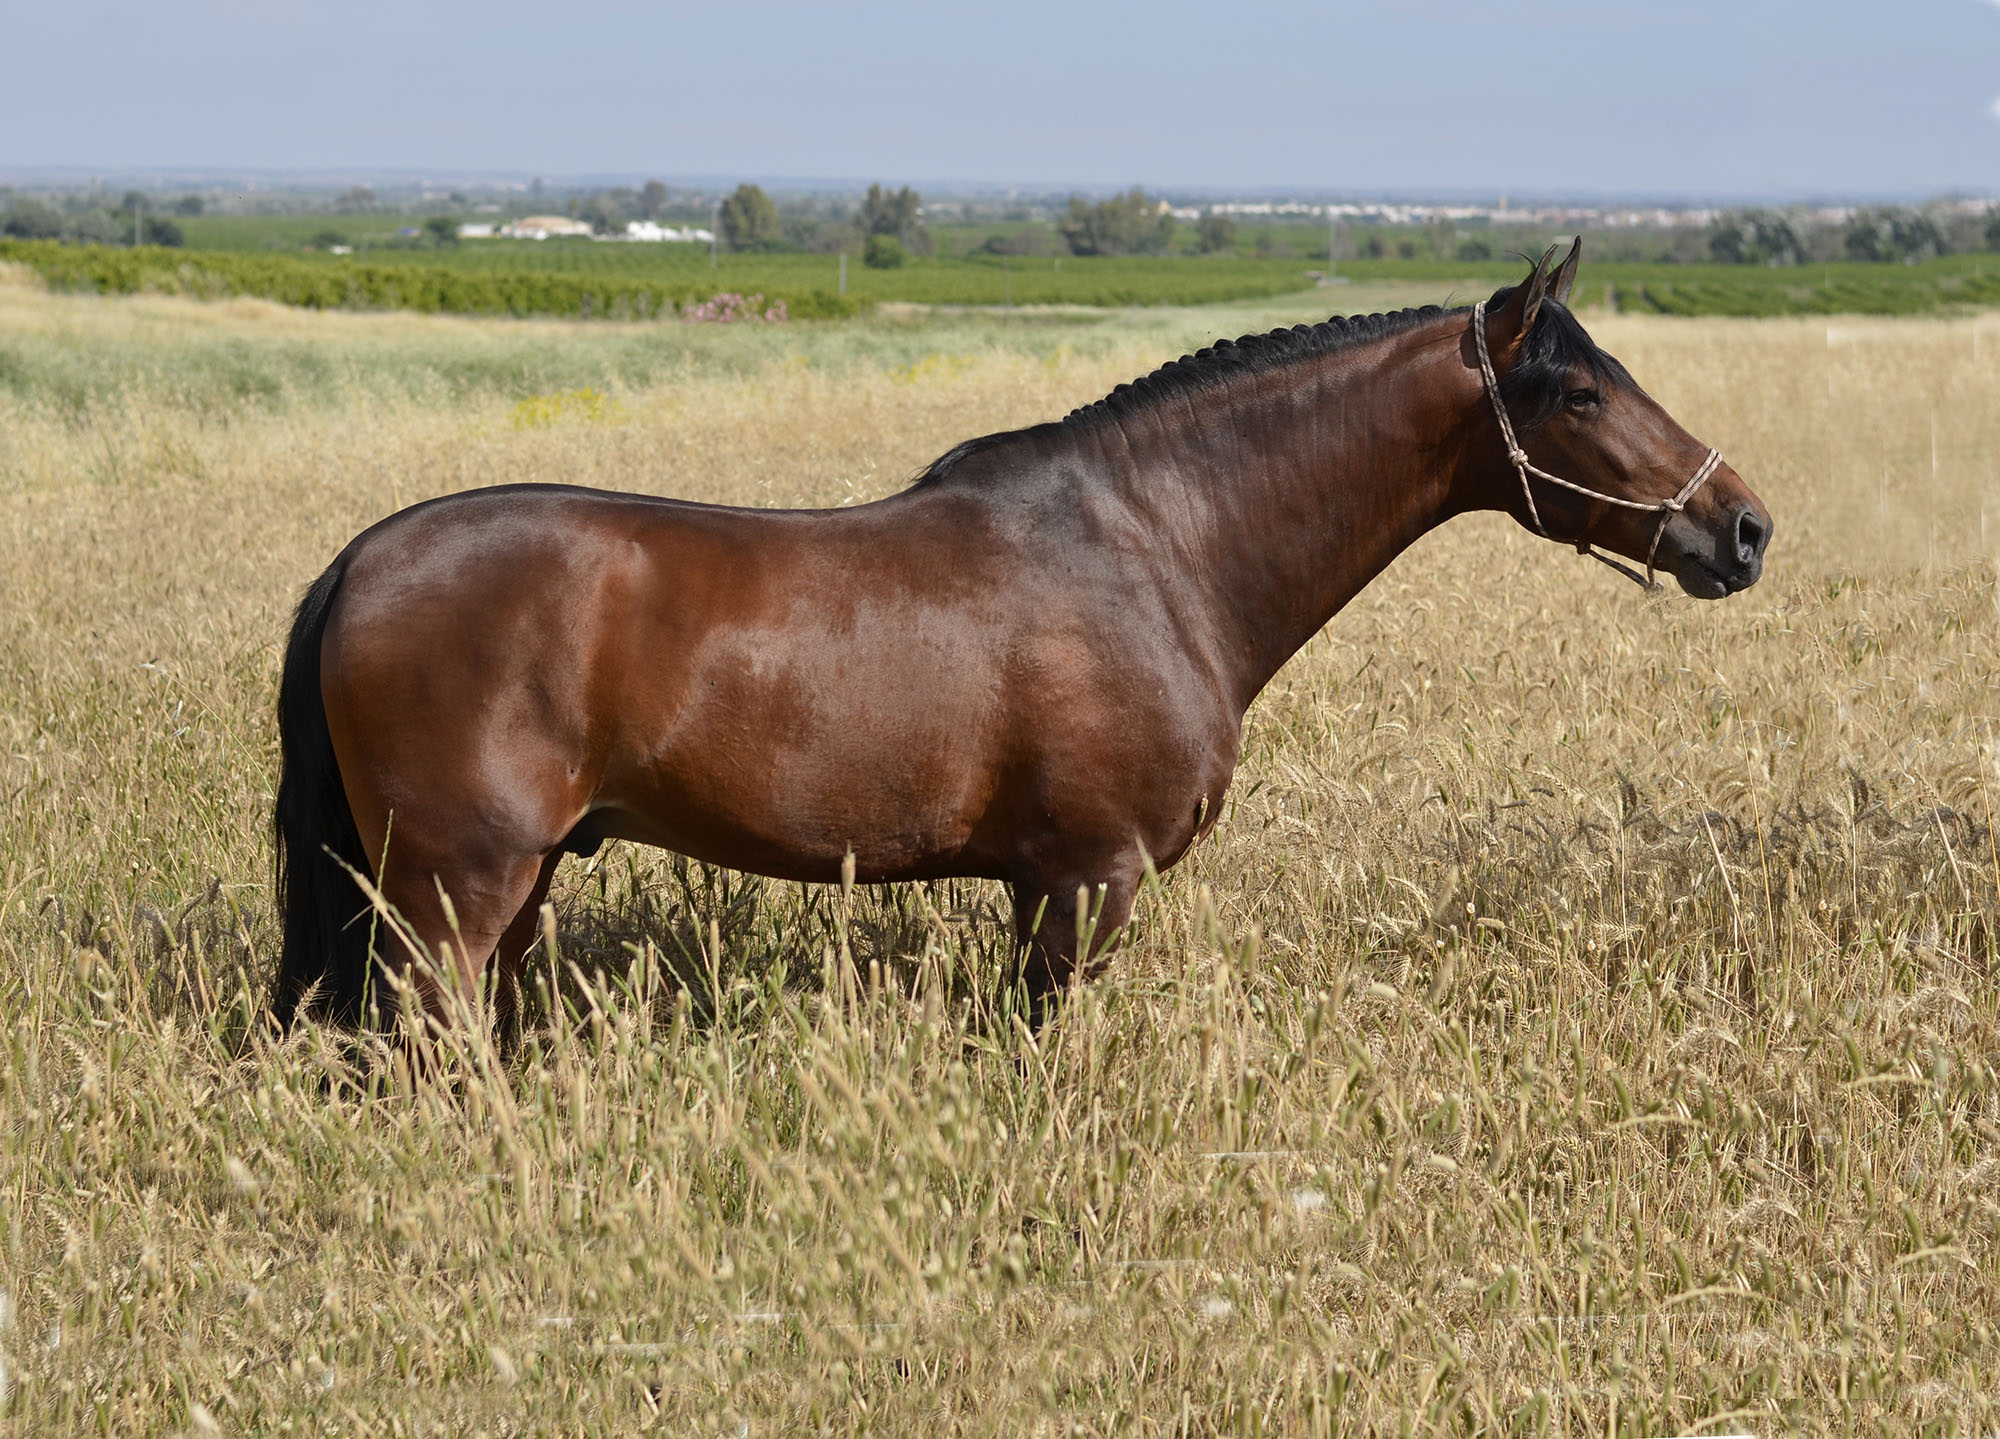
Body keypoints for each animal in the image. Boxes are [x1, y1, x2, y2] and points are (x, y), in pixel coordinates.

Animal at [266, 247, 1768, 1031]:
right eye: (1578, 391)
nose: (1742, 527)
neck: (1158, 548)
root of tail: (359, 561)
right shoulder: (1084, 879)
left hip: (505, 882)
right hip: (455, 887)